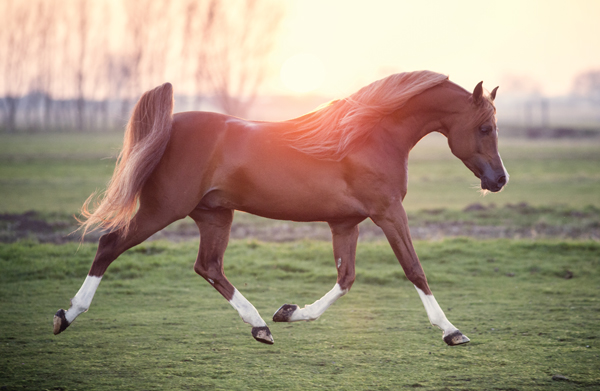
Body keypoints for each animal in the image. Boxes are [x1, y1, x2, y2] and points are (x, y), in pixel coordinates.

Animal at [54, 70, 508, 346]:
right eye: (485, 128)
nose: (500, 180)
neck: (370, 136)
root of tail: (170, 125)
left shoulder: (346, 223)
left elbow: (346, 278)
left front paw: (289, 313)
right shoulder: (388, 213)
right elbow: (414, 269)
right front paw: (452, 331)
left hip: (214, 215)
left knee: (208, 266)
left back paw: (259, 326)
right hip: (163, 209)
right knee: (110, 245)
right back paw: (67, 315)